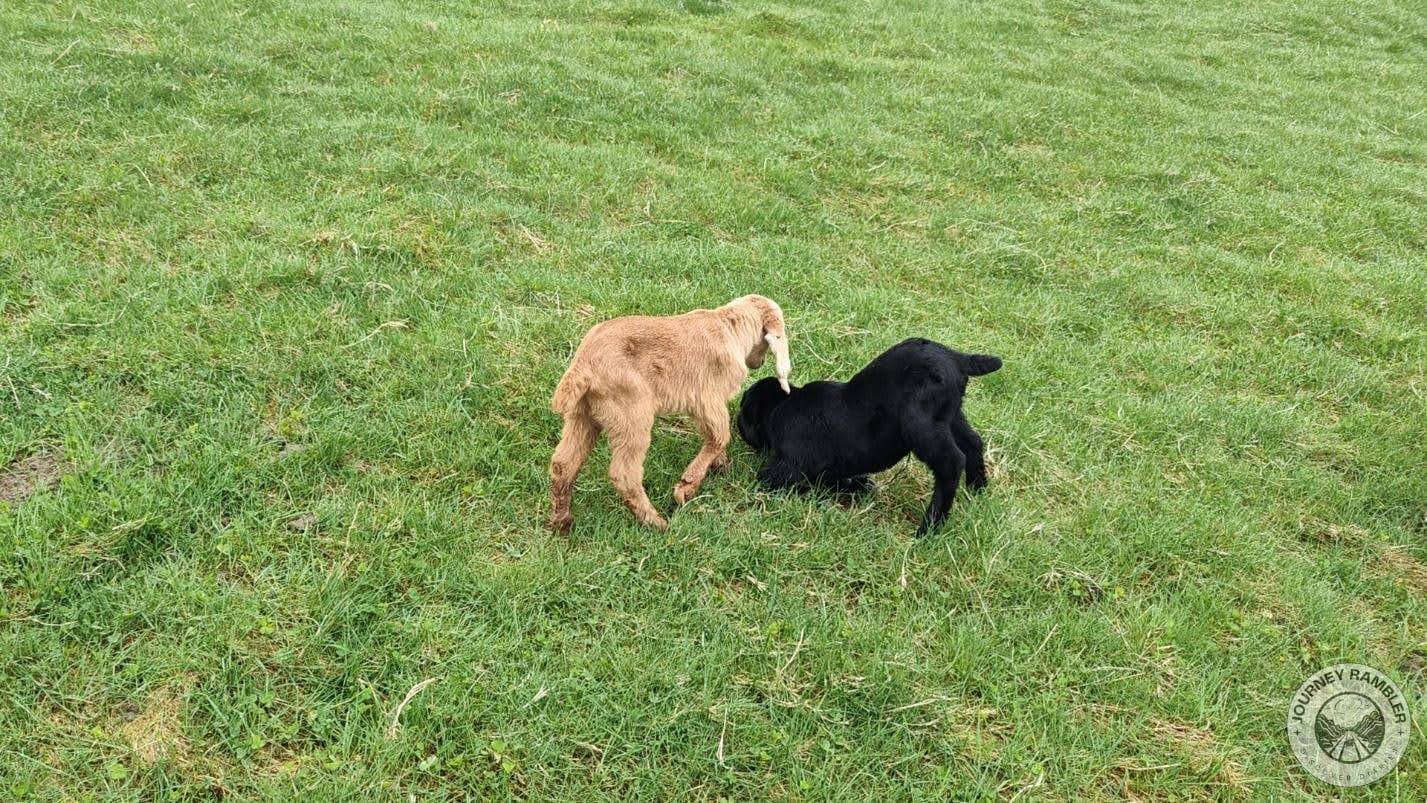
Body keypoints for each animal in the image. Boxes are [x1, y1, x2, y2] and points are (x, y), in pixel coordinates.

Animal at [548, 295, 791, 532]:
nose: (759, 363)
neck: (730, 327)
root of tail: (584, 365)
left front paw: (721, 466)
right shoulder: (708, 399)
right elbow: (720, 437)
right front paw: (687, 487)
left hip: (582, 415)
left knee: (563, 464)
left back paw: (562, 522)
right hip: (631, 412)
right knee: (624, 474)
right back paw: (655, 522)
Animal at [736, 337, 1000, 535]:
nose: (736, 420)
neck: (781, 405)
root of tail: (957, 358)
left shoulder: (784, 470)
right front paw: (858, 486)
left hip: (920, 425)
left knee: (951, 461)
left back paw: (929, 527)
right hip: (951, 416)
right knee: (973, 443)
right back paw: (978, 489)